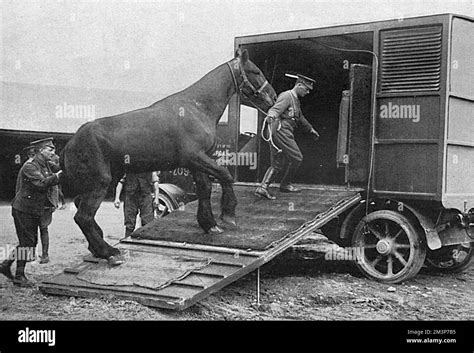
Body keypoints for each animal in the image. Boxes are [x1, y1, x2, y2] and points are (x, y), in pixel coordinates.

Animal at [60, 48, 276, 264]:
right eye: (255, 71)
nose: (273, 97)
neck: (196, 107)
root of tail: (70, 144)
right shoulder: (196, 157)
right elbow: (225, 175)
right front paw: (228, 214)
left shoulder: (197, 162)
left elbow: (205, 188)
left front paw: (209, 223)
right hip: (100, 183)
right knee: (83, 217)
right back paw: (108, 252)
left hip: (97, 182)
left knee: (80, 208)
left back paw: (97, 247)